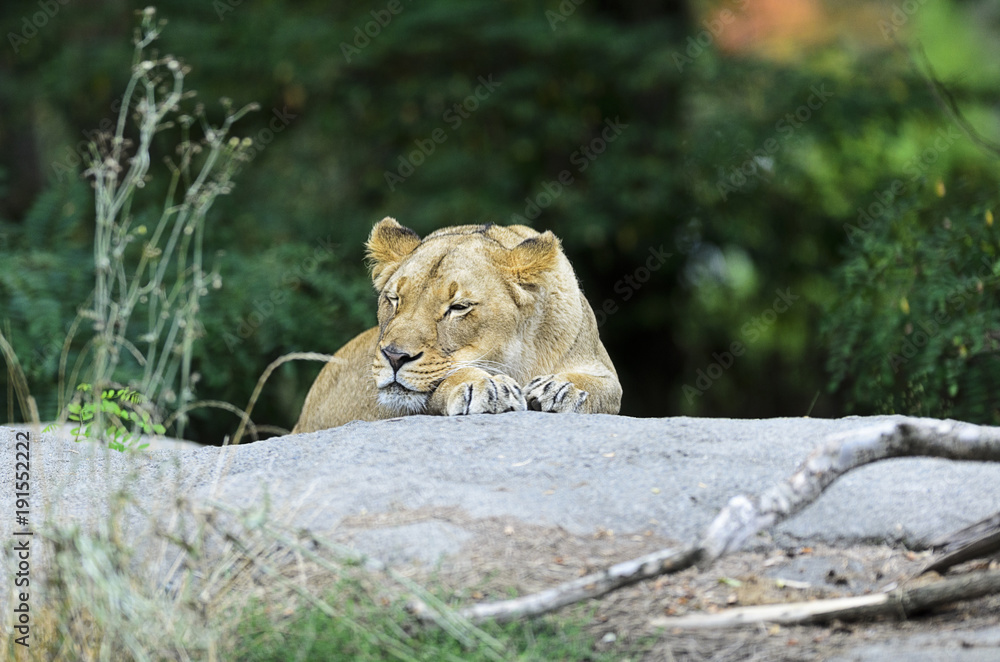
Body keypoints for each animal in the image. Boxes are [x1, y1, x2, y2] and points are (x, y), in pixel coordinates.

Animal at [292, 217, 621, 432]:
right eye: (394, 299)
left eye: (459, 307)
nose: (395, 357)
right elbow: (444, 383)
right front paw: (481, 385)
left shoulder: (601, 370)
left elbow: (604, 388)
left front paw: (561, 388)